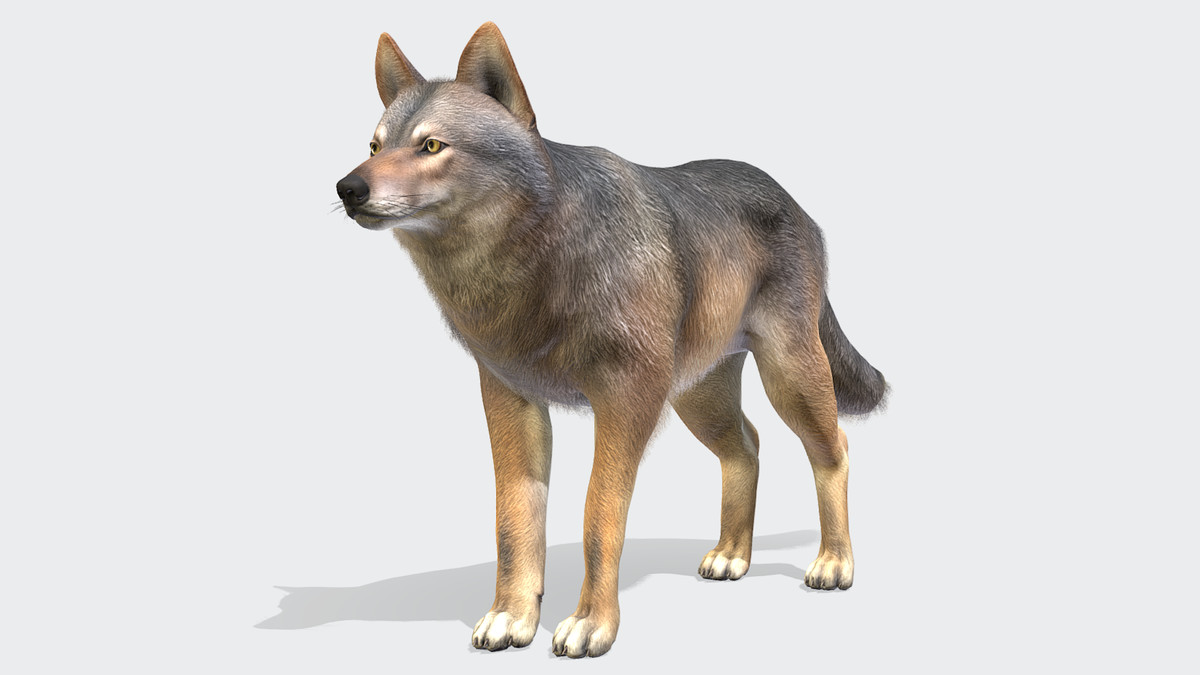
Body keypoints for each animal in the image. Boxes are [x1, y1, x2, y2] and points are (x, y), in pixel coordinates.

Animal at [334, 22, 887, 658]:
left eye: (430, 146)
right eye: (374, 146)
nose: (347, 188)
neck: (535, 267)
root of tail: (797, 205)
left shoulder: (626, 402)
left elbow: (599, 517)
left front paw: (591, 624)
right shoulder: (511, 401)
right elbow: (513, 521)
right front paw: (511, 617)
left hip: (788, 378)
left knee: (834, 448)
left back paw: (834, 562)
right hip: (698, 397)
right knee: (746, 446)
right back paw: (732, 556)